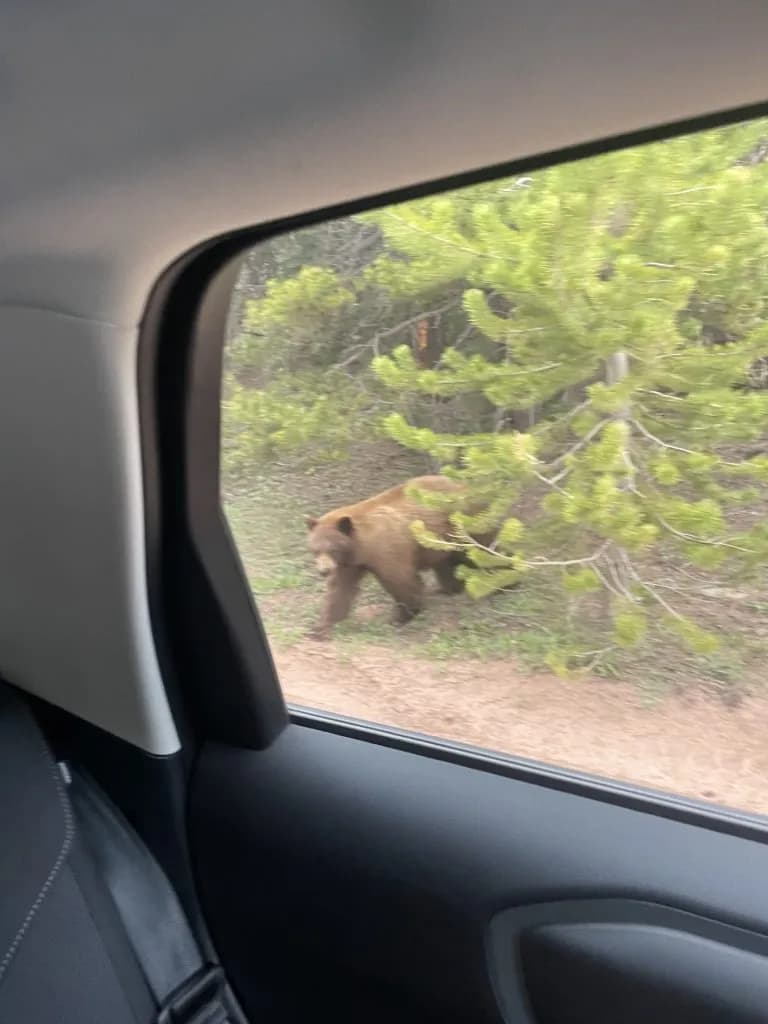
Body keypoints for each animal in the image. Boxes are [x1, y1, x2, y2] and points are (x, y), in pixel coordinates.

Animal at [306, 474, 493, 640]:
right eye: (315, 550)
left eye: (332, 549)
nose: (323, 571)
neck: (361, 544)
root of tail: (468, 486)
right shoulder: (350, 563)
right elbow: (340, 590)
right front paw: (320, 627)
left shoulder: (386, 549)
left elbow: (401, 580)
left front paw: (402, 615)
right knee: (446, 563)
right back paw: (449, 588)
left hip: (464, 524)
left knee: (479, 551)